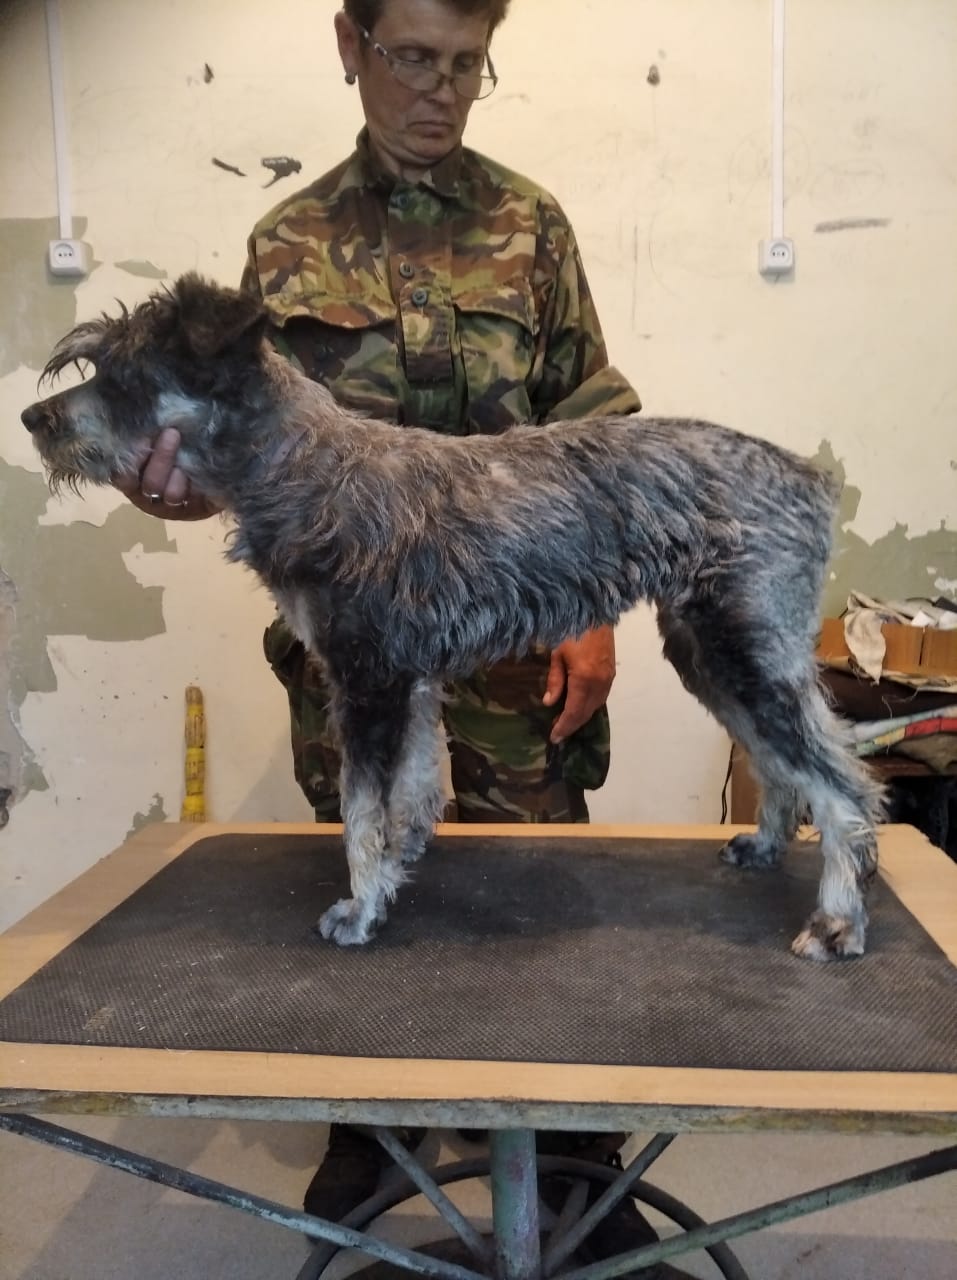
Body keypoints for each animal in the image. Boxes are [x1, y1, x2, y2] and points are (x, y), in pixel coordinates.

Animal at [22, 274, 883, 959]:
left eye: (126, 375)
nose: (35, 420)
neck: (305, 470)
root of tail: (811, 477)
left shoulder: (365, 678)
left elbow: (360, 806)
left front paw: (359, 909)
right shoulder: (405, 682)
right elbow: (407, 790)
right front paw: (398, 867)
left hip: (745, 649)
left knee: (841, 782)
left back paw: (837, 921)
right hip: (708, 656)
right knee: (779, 763)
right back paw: (765, 844)